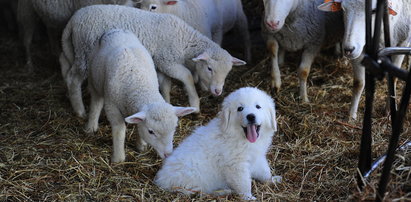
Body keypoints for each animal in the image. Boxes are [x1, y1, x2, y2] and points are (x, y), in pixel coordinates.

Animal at [60, 4, 245, 118]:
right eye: (209, 68)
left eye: (228, 71)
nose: (218, 91)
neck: (184, 40)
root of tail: (73, 20)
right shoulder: (167, 61)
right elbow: (187, 76)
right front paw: (195, 104)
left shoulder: (161, 63)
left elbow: (165, 84)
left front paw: (167, 103)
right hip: (85, 52)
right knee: (73, 79)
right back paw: (80, 110)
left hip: (77, 50)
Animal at [85, 29, 196, 163]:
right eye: (151, 132)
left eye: (174, 128)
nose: (168, 154)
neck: (139, 83)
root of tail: (116, 29)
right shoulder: (112, 107)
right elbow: (119, 130)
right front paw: (118, 158)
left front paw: (141, 145)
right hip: (93, 78)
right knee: (96, 102)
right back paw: (91, 127)